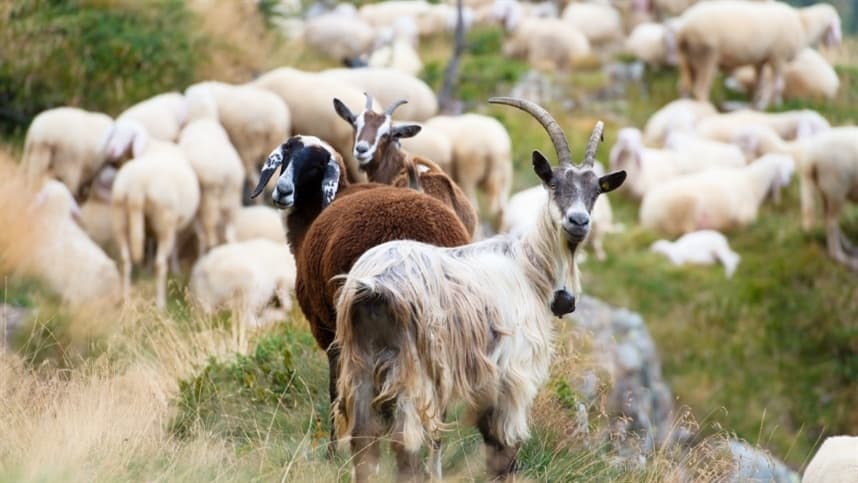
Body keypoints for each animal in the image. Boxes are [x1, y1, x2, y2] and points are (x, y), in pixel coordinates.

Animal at [333, 97, 626, 481]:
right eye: (554, 184)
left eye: (595, 192)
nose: (579, 221)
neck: (529, 268)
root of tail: (374, 286)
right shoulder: (514, 375)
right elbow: (504, 451)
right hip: (412, 371)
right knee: (404, 444)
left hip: (361, 366)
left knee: (363, 442)